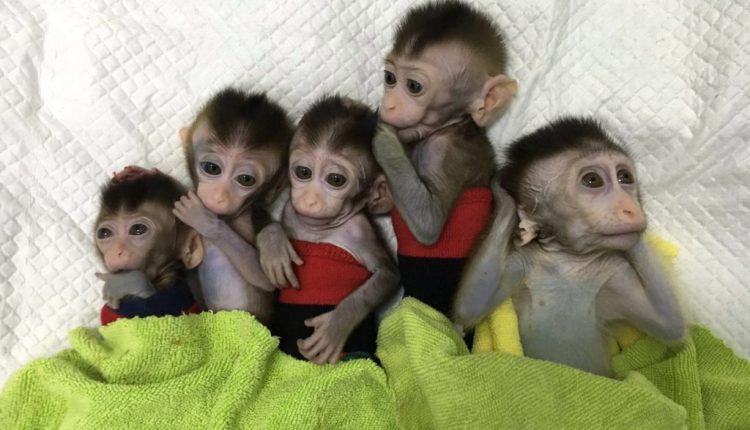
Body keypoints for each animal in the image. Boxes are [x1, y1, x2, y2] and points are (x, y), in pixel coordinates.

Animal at [257, 95, 399, 364]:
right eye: (303, 172)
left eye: (335, 180)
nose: (310, 199)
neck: (321, 231)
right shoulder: (290, 211)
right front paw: (274, 246)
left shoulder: (361, 231)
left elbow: (387, 274)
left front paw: (336, 325)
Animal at [373, 0, 518, 316]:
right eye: (389, 79)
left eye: (413, 86)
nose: (388, 105)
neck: (450, 125)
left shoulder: (443, 152)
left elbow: (429, 223)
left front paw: (383, 136)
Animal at [452, 117, 686, 376]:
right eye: (592, 180)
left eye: (625, 177)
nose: (631, 208)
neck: (569, 261)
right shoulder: (521, 261)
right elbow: (471, 304)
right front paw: (503, 195)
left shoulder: (616, 272)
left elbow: (669, 323)